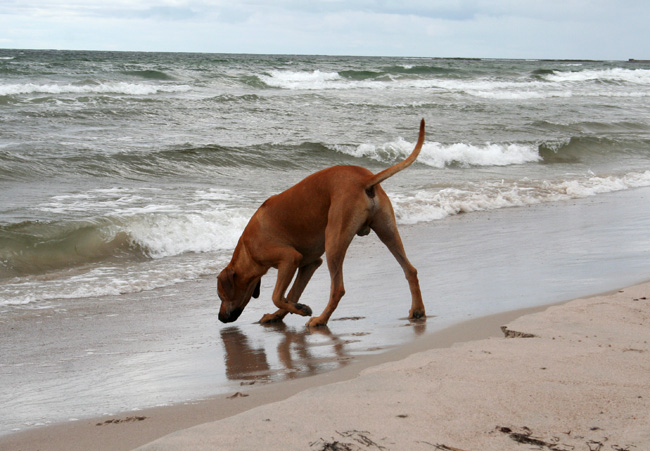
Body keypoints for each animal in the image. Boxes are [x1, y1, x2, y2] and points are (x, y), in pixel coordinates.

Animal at [218, 118, 426, 326]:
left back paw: (321, 319)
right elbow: (291, 295)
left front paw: (299, 310)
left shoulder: (289, 258)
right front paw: (283, 313)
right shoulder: (308, 264)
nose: (220, 318)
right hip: (387, 231)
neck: (247, 249)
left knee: (338, 288)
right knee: (410, 270)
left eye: (221, 296)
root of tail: (365, 178)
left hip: (334, 240)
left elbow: (277, 296)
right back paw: (417, 309)